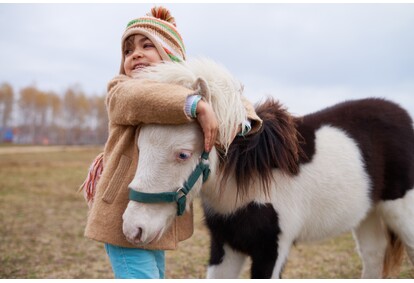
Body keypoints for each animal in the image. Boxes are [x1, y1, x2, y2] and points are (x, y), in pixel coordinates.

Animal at [122, 57, 414, 280]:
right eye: (140, 146)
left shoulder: (272, 250)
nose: (133, 229)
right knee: (374, 256)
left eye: (183, 154)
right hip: (368, 215)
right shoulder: (225, 246)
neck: (247, 176)